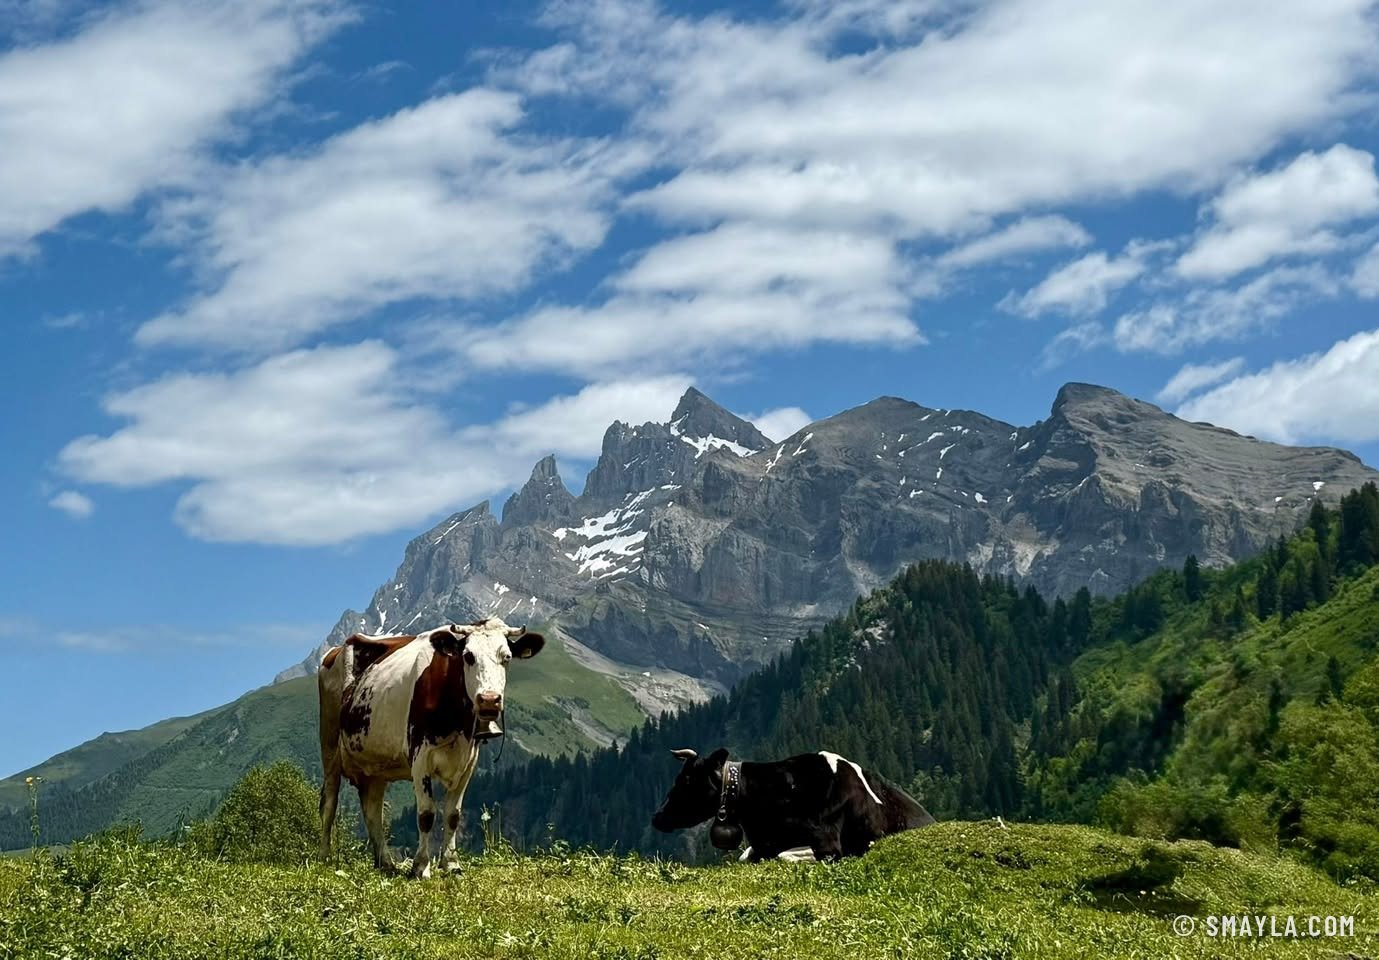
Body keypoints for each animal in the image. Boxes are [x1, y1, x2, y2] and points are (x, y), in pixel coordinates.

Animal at [317, 617, 545, 877]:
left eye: (506, 656)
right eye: (468, 656)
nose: (489, 700)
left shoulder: (468, 762)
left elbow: (453, 815)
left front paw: (452, 864)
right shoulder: (420, 757)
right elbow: (426, 814)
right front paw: (421, 866)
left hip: (375, 766)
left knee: (372, 809)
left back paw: (385, 863)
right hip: (329, 745)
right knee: (330, 802)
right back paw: (325, 857)